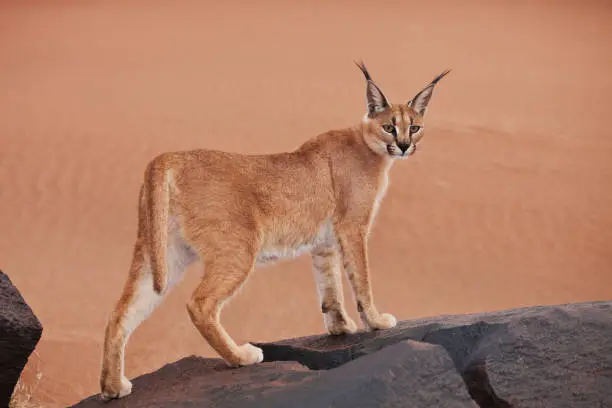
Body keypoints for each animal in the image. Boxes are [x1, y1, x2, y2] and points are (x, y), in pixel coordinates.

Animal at [100, 61, 450, 398]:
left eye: (414, 127)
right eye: (389, 126)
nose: (404, 145)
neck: (368, 145)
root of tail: (169, 156)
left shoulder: (324, 242)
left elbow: (330, 284)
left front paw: (340, 327)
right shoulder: (353, 227)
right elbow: (361, 280)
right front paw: (376, 322)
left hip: (163, 254)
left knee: (120, 313)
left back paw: (112, 388)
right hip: (237, 251)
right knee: (200, 305)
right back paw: (241, 357)